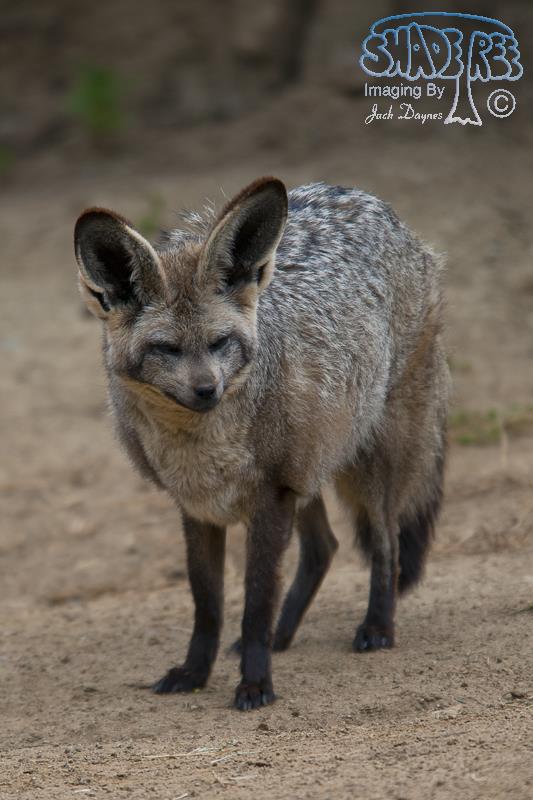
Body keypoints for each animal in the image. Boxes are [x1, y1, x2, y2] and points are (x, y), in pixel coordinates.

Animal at [74, 177, 449, 711]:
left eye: (220, 343)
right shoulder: (198, 508)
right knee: (324, 548)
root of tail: (360, 195)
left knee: (387, 542)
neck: (201, 454)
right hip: (310, 470)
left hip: (366, 463)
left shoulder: (271, 498)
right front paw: (196, 671)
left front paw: (255, 683)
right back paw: (284, 635)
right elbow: (208, 604)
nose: (206, 390)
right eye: (166, 349)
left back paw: (377, 626)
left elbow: (254, 602)